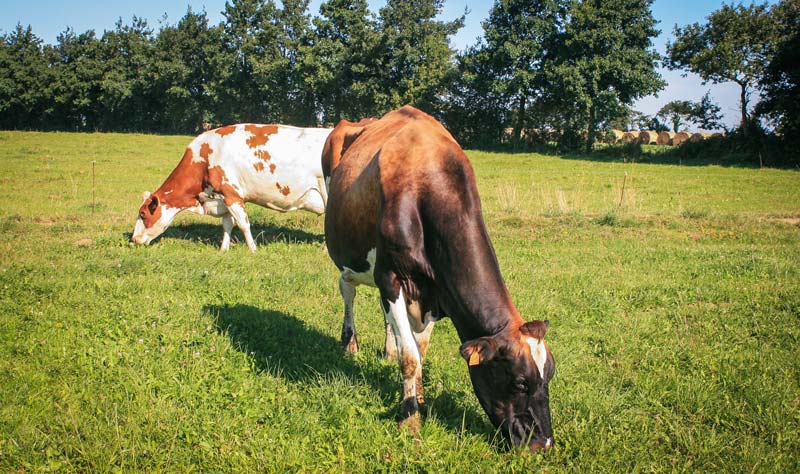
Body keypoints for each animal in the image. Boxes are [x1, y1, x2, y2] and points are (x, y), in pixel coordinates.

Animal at [132, 123, 332, 252]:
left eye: (143, 214)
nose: (134, 239)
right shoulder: (222, 198)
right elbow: (227, 224)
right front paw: (223, 249)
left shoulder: (232, 193)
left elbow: (243, 224)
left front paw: (253, 249)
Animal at [324, 106, 556, 452]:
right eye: (519, 382)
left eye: (549, 376)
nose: (543, 443)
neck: (427, 182)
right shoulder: (390, 277)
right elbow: (410, 356)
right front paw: (409, 418)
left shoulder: (436, 290)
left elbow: (420, 348)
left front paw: (418, 397)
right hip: (347, 251)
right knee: (347, 289)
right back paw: (350, 341)